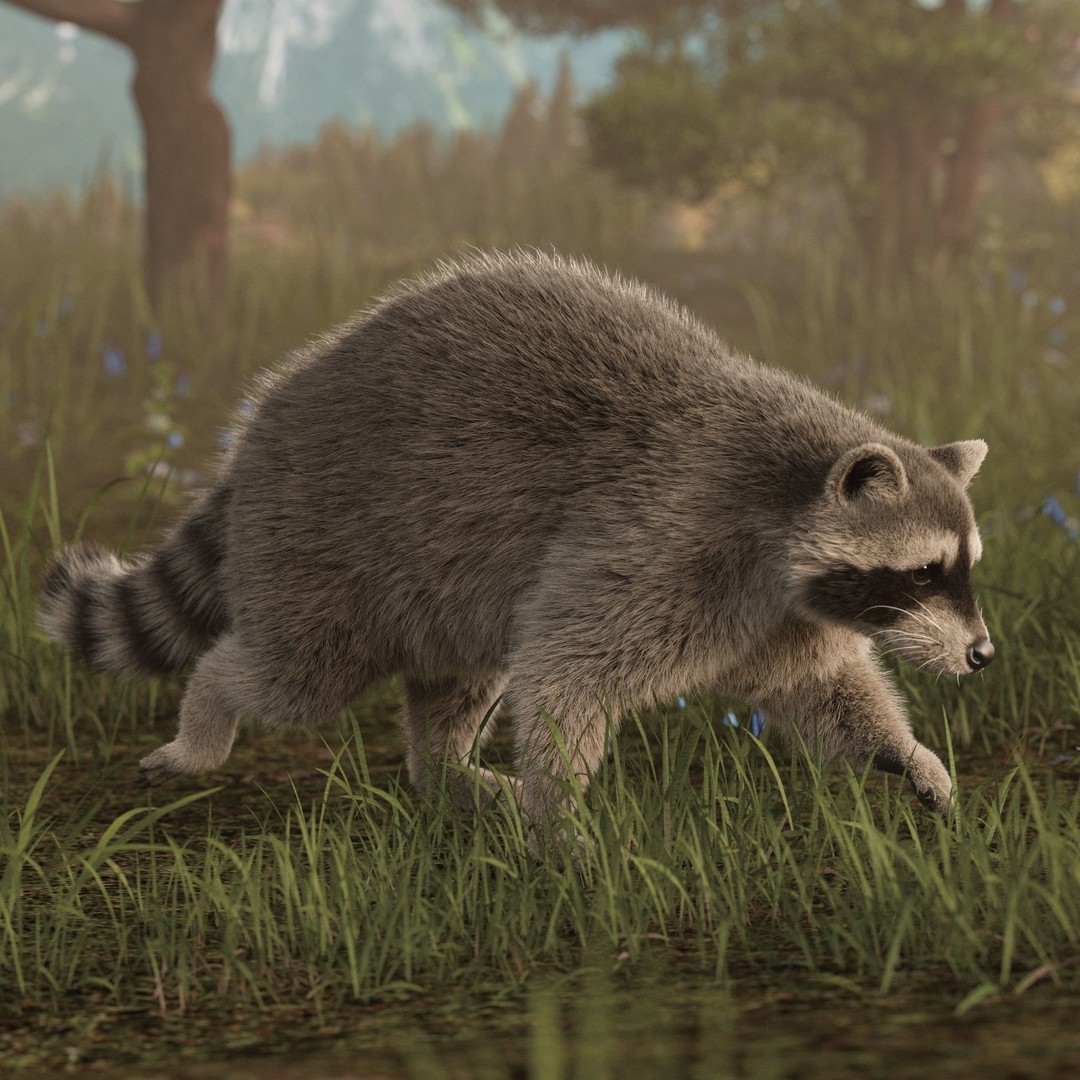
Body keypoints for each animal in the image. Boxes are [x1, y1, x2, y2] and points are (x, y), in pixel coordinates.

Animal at [40, 251, 993, 829]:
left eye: (964, 568)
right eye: (923, 572)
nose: (984, 655)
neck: (784, 496)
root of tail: (263, 426)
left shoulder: (776, 612)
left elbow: (825, 688)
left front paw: (906, 752)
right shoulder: (662, 537)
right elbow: (569, 674)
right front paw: (561, 820)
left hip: (437, 585)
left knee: (458, 678)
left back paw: (447, 777)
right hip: (322, 536)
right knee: (295, 676)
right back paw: (208, 714)